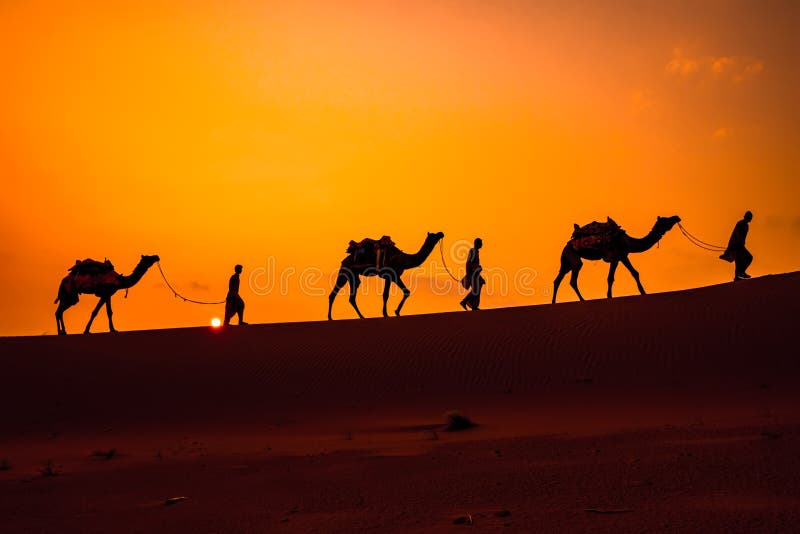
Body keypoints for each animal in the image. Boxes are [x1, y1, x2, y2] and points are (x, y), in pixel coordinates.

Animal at [552, 216, 680, 304]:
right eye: (665, 220)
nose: (676, 217)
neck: (629, 242)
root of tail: (567, 246)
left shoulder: (619, 258)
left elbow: (620, 276)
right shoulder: (620, 256)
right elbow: (625, 275)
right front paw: (642, 293)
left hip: (567, 262)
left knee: (560, 280)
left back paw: (555, 302)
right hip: (573, 259)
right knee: (571, 280)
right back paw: (582, 300)